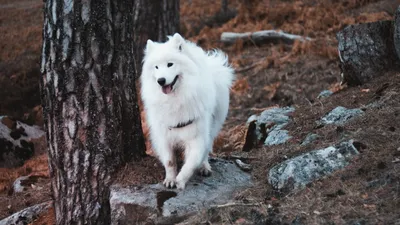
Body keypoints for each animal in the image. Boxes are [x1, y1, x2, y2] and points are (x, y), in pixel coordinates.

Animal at [141, 32, 234, 189]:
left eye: (170, 64)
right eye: (156, 67)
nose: (161, 80)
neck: (175, 100)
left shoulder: (196, 136)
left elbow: (192, 162)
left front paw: (180, 180)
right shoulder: (164, 137)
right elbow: (170, 162)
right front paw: (170, 179)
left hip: (212, 127)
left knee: (206, 149)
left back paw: (204, 167)